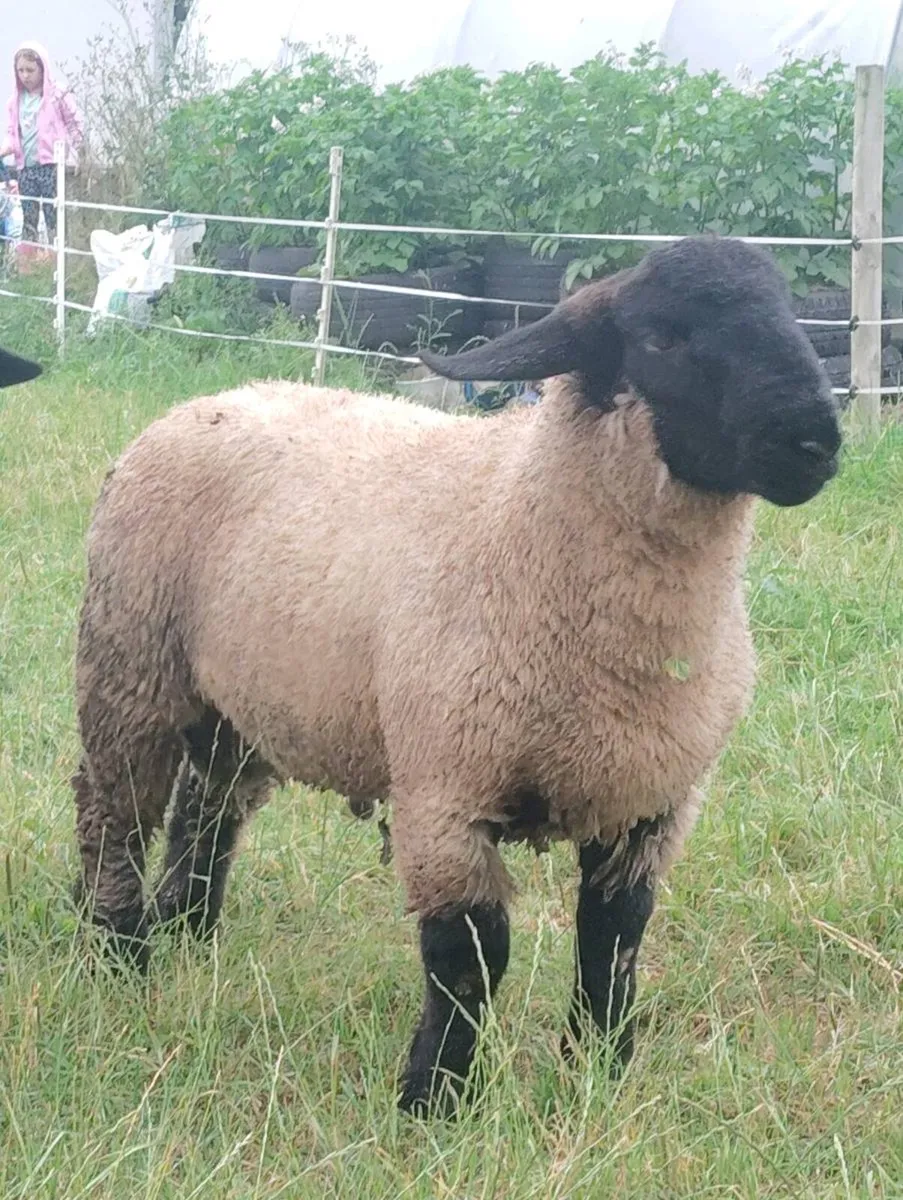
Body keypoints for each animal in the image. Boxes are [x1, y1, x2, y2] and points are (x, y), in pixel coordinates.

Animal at [70, 234, 841, 1116]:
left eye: (788, 314)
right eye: (661, 339)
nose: (817, 443)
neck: (522, 513)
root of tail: (208, 401)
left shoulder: (648, 802)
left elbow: (613, 940)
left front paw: (599, 1068)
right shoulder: (446, 791)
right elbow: (469, 955)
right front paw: (433, 1096)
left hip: (241, 697)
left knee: (208, 807)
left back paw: (190, 928)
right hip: (130, 662)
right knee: (115, 812)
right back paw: (120, 953)